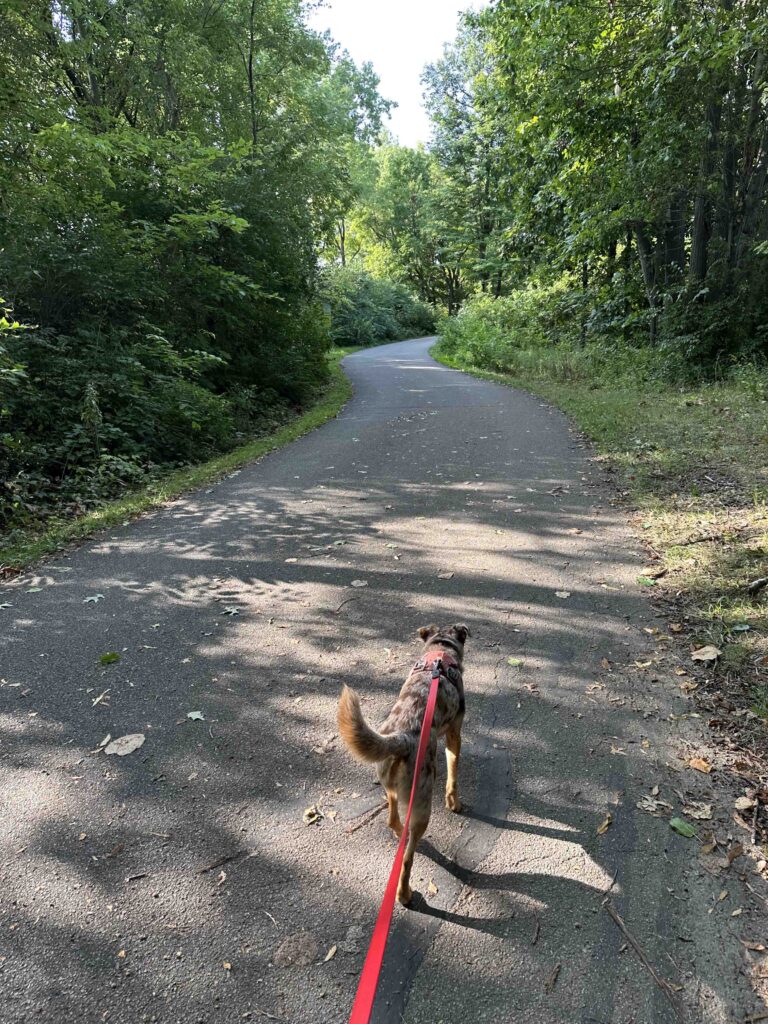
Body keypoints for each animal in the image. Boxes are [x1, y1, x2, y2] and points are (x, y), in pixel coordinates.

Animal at [337, 622, 468, 905]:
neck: (440, 653)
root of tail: (402, 737)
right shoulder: (454, 734)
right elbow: (454, 773)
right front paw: (454, 802)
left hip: (392, 786)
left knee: (392, 818)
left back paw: (398, 831)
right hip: (422, 806)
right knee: (407, 858)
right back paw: (404, 893)